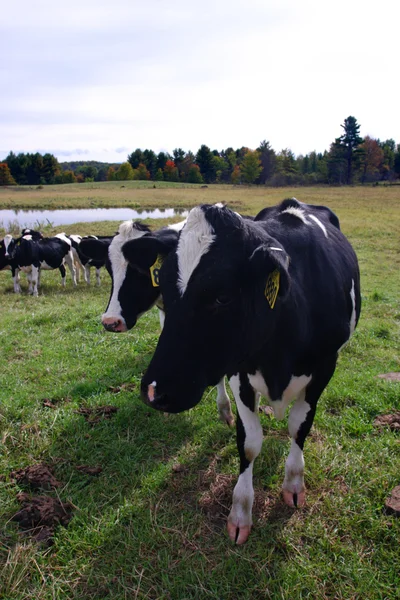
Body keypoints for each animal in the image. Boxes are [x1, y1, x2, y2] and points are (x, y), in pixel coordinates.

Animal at [135, 200, 362, 544]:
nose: (153, 392)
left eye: (223, 296)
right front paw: (240, 511)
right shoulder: (239, 371)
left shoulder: (326, 366)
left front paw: (294, 483)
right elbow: (250, 440)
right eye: (164, 287)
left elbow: (299, 426)